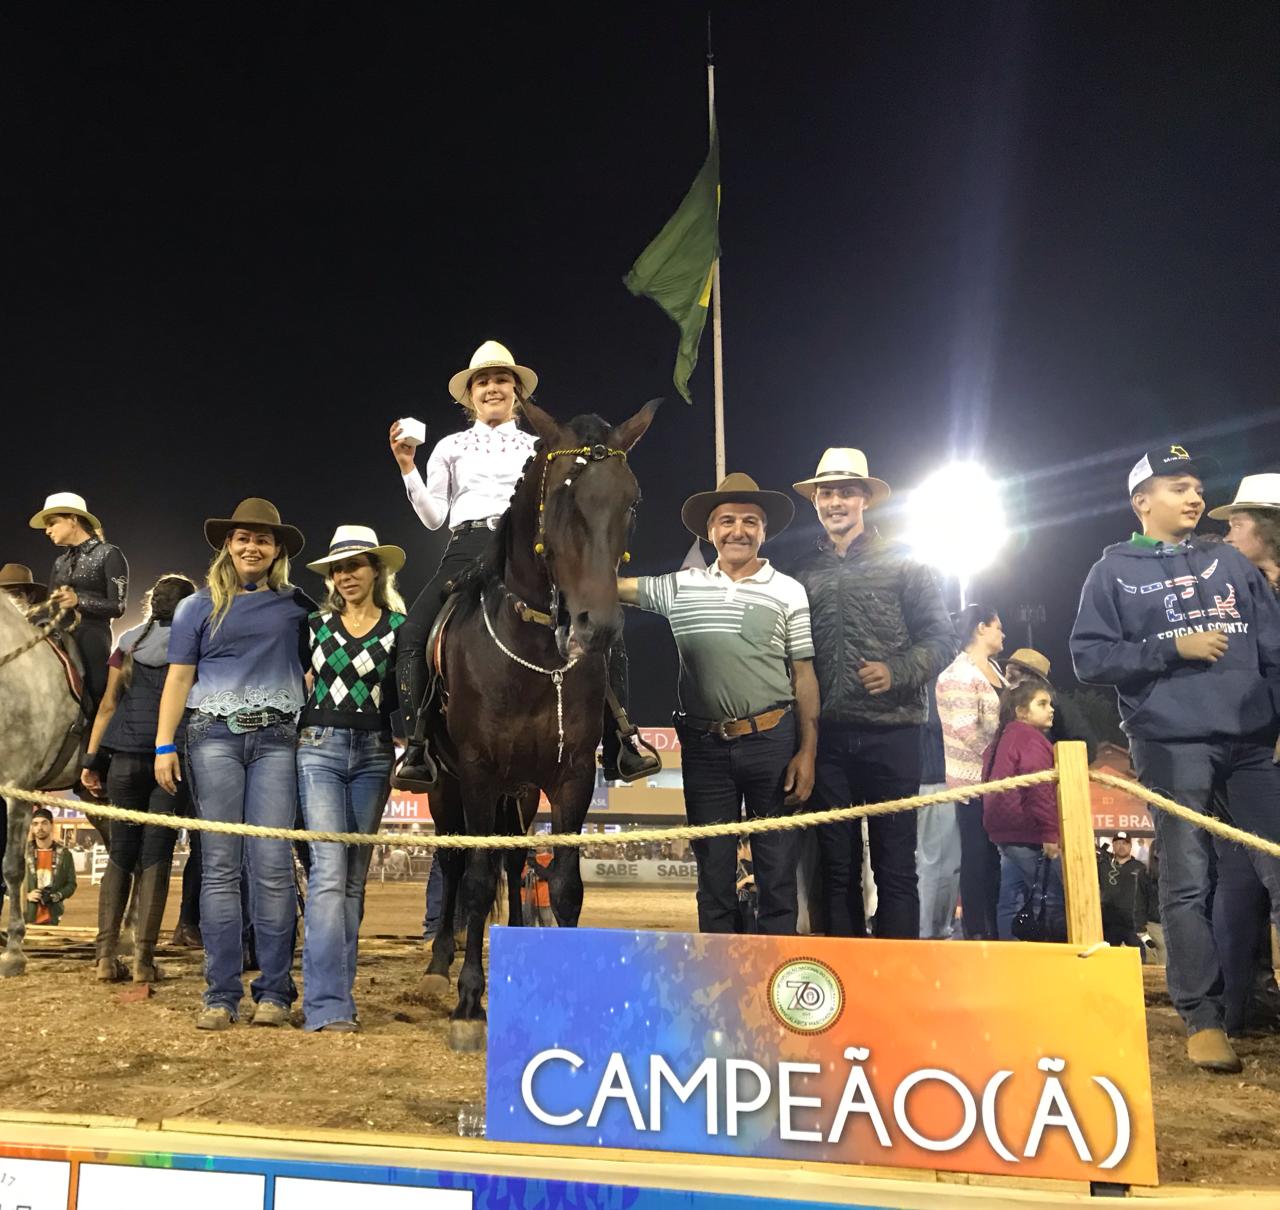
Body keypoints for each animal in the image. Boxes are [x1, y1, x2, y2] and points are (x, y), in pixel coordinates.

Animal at [422, 396, 660, 1049]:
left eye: (632, 500)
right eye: (561, 496)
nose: (596, 628)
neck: (535, 659)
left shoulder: (570, 777)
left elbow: (563, 884)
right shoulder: (478, 774)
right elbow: (477, 881)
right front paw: (469, 1002)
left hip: (522, 791)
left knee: (513, 860)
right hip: (449, 785)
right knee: (455, 863)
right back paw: (438, 964)